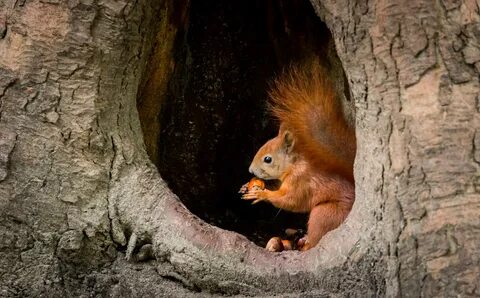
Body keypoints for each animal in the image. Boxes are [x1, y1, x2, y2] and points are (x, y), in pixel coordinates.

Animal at [242, 58, 354, 251]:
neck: (293, 165)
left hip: (324, 213)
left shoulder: (300, 181)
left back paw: (305, 245)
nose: (250, 170)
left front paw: (262, 195)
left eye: (268, 159)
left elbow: (290, 200)